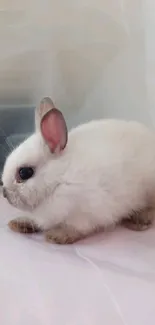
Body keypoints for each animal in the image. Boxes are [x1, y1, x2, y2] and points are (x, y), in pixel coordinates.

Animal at [1, 96, 155, 243]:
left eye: (25, 172)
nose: (4, 193)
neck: (59, 179)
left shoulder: (84, 215)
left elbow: (76, 229)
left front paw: (56, 236)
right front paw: (18, 223)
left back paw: (139, 221)